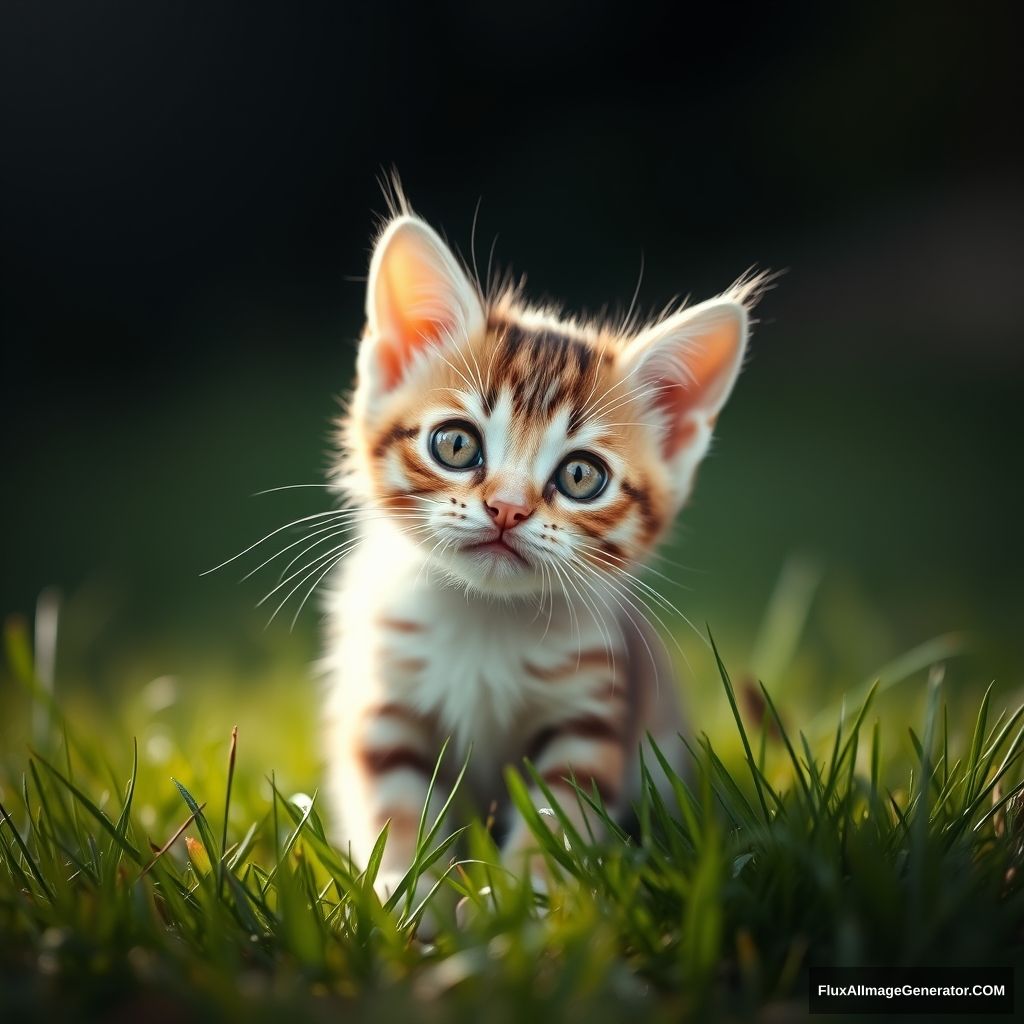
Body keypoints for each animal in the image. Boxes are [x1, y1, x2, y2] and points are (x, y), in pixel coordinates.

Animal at [323, 195, 765, 909]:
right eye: (455, 444)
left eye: (581, 476)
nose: (507, 508)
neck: (485, 619)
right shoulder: (384, 701)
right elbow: (395, 807)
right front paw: (408, 897)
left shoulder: (591, 704)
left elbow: (559, 812)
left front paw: (527, 902)